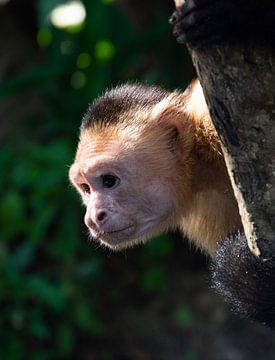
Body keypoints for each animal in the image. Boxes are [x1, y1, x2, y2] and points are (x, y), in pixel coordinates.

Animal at [70, 0, 275, 326]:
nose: (93, 217)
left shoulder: (209, 115)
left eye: (109, 180)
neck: (201, 164)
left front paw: (237, 14)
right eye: (86, 189)